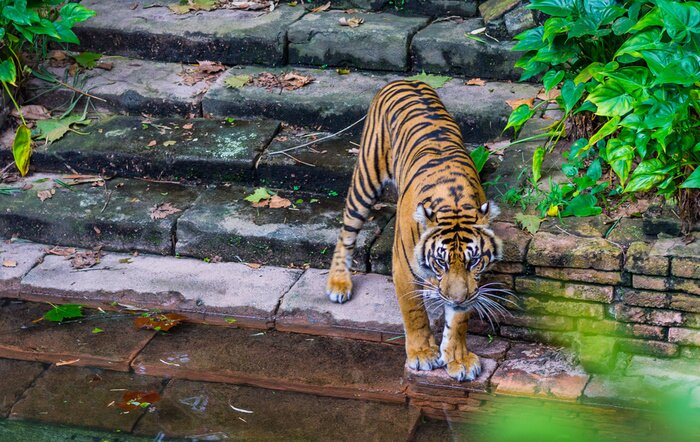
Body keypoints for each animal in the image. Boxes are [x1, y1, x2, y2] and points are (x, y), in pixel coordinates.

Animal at [326, 80, 505, 382]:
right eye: (441, 262)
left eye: (474, 262)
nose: (456, 298)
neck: (454, 203)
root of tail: (404, 80)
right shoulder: (403, 268)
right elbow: (414, 313)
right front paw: (422, 354)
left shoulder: (470, 285)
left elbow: (458, 320)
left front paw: (458, 358)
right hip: (365, 179)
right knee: (346, 233)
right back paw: (338, 284)